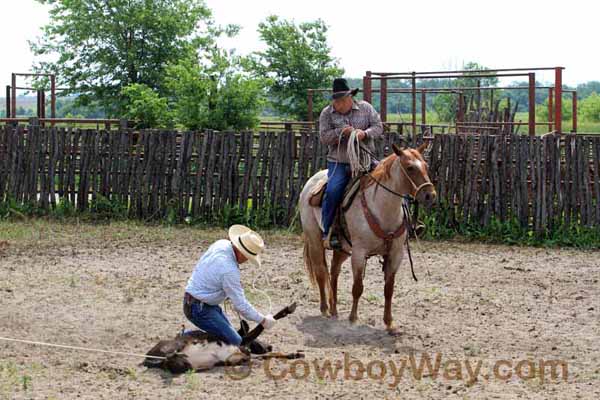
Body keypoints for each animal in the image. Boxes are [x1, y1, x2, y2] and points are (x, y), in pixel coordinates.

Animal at [298, 144, 436, 334]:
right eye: (410, 168)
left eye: (426, 166)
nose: (431, 195)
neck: (382, 208)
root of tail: (311, 181)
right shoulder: (359, 253)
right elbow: (357, 288)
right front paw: (353, 319)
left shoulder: (396, 254)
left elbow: (388, 289)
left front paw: (389, 323)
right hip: (314, 240)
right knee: (320, 273)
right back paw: (325, 309)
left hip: (343, 247)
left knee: (334, 271)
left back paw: (334, 309)